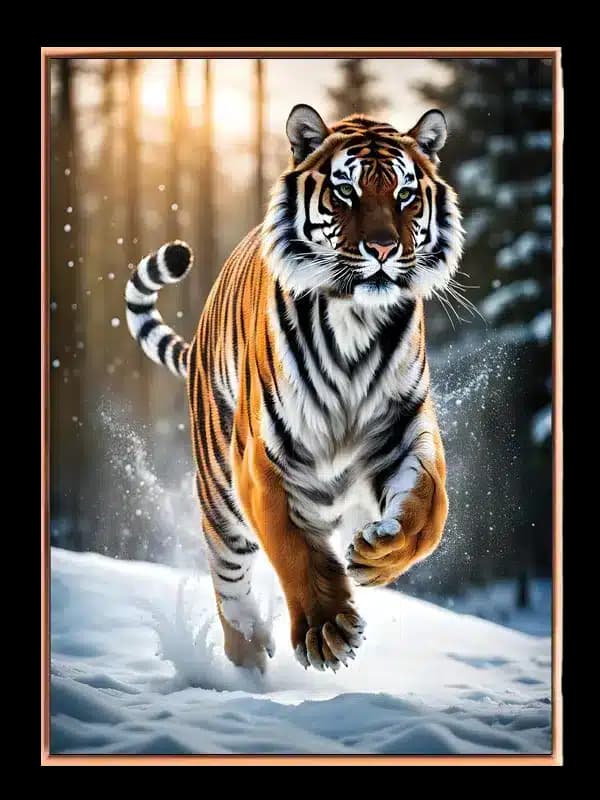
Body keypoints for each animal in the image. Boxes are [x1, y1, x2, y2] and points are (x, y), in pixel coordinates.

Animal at [125, 104, 464, 673]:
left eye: (404, 194)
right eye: (346, 191)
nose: (383, 247)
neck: (355, 320)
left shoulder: (407, 429)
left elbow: (429, 512)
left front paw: (377, 556)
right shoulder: (263, 459)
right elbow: (291, 546)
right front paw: (328, 630)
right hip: (219, 487)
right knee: (228, 570)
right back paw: (246, 654)